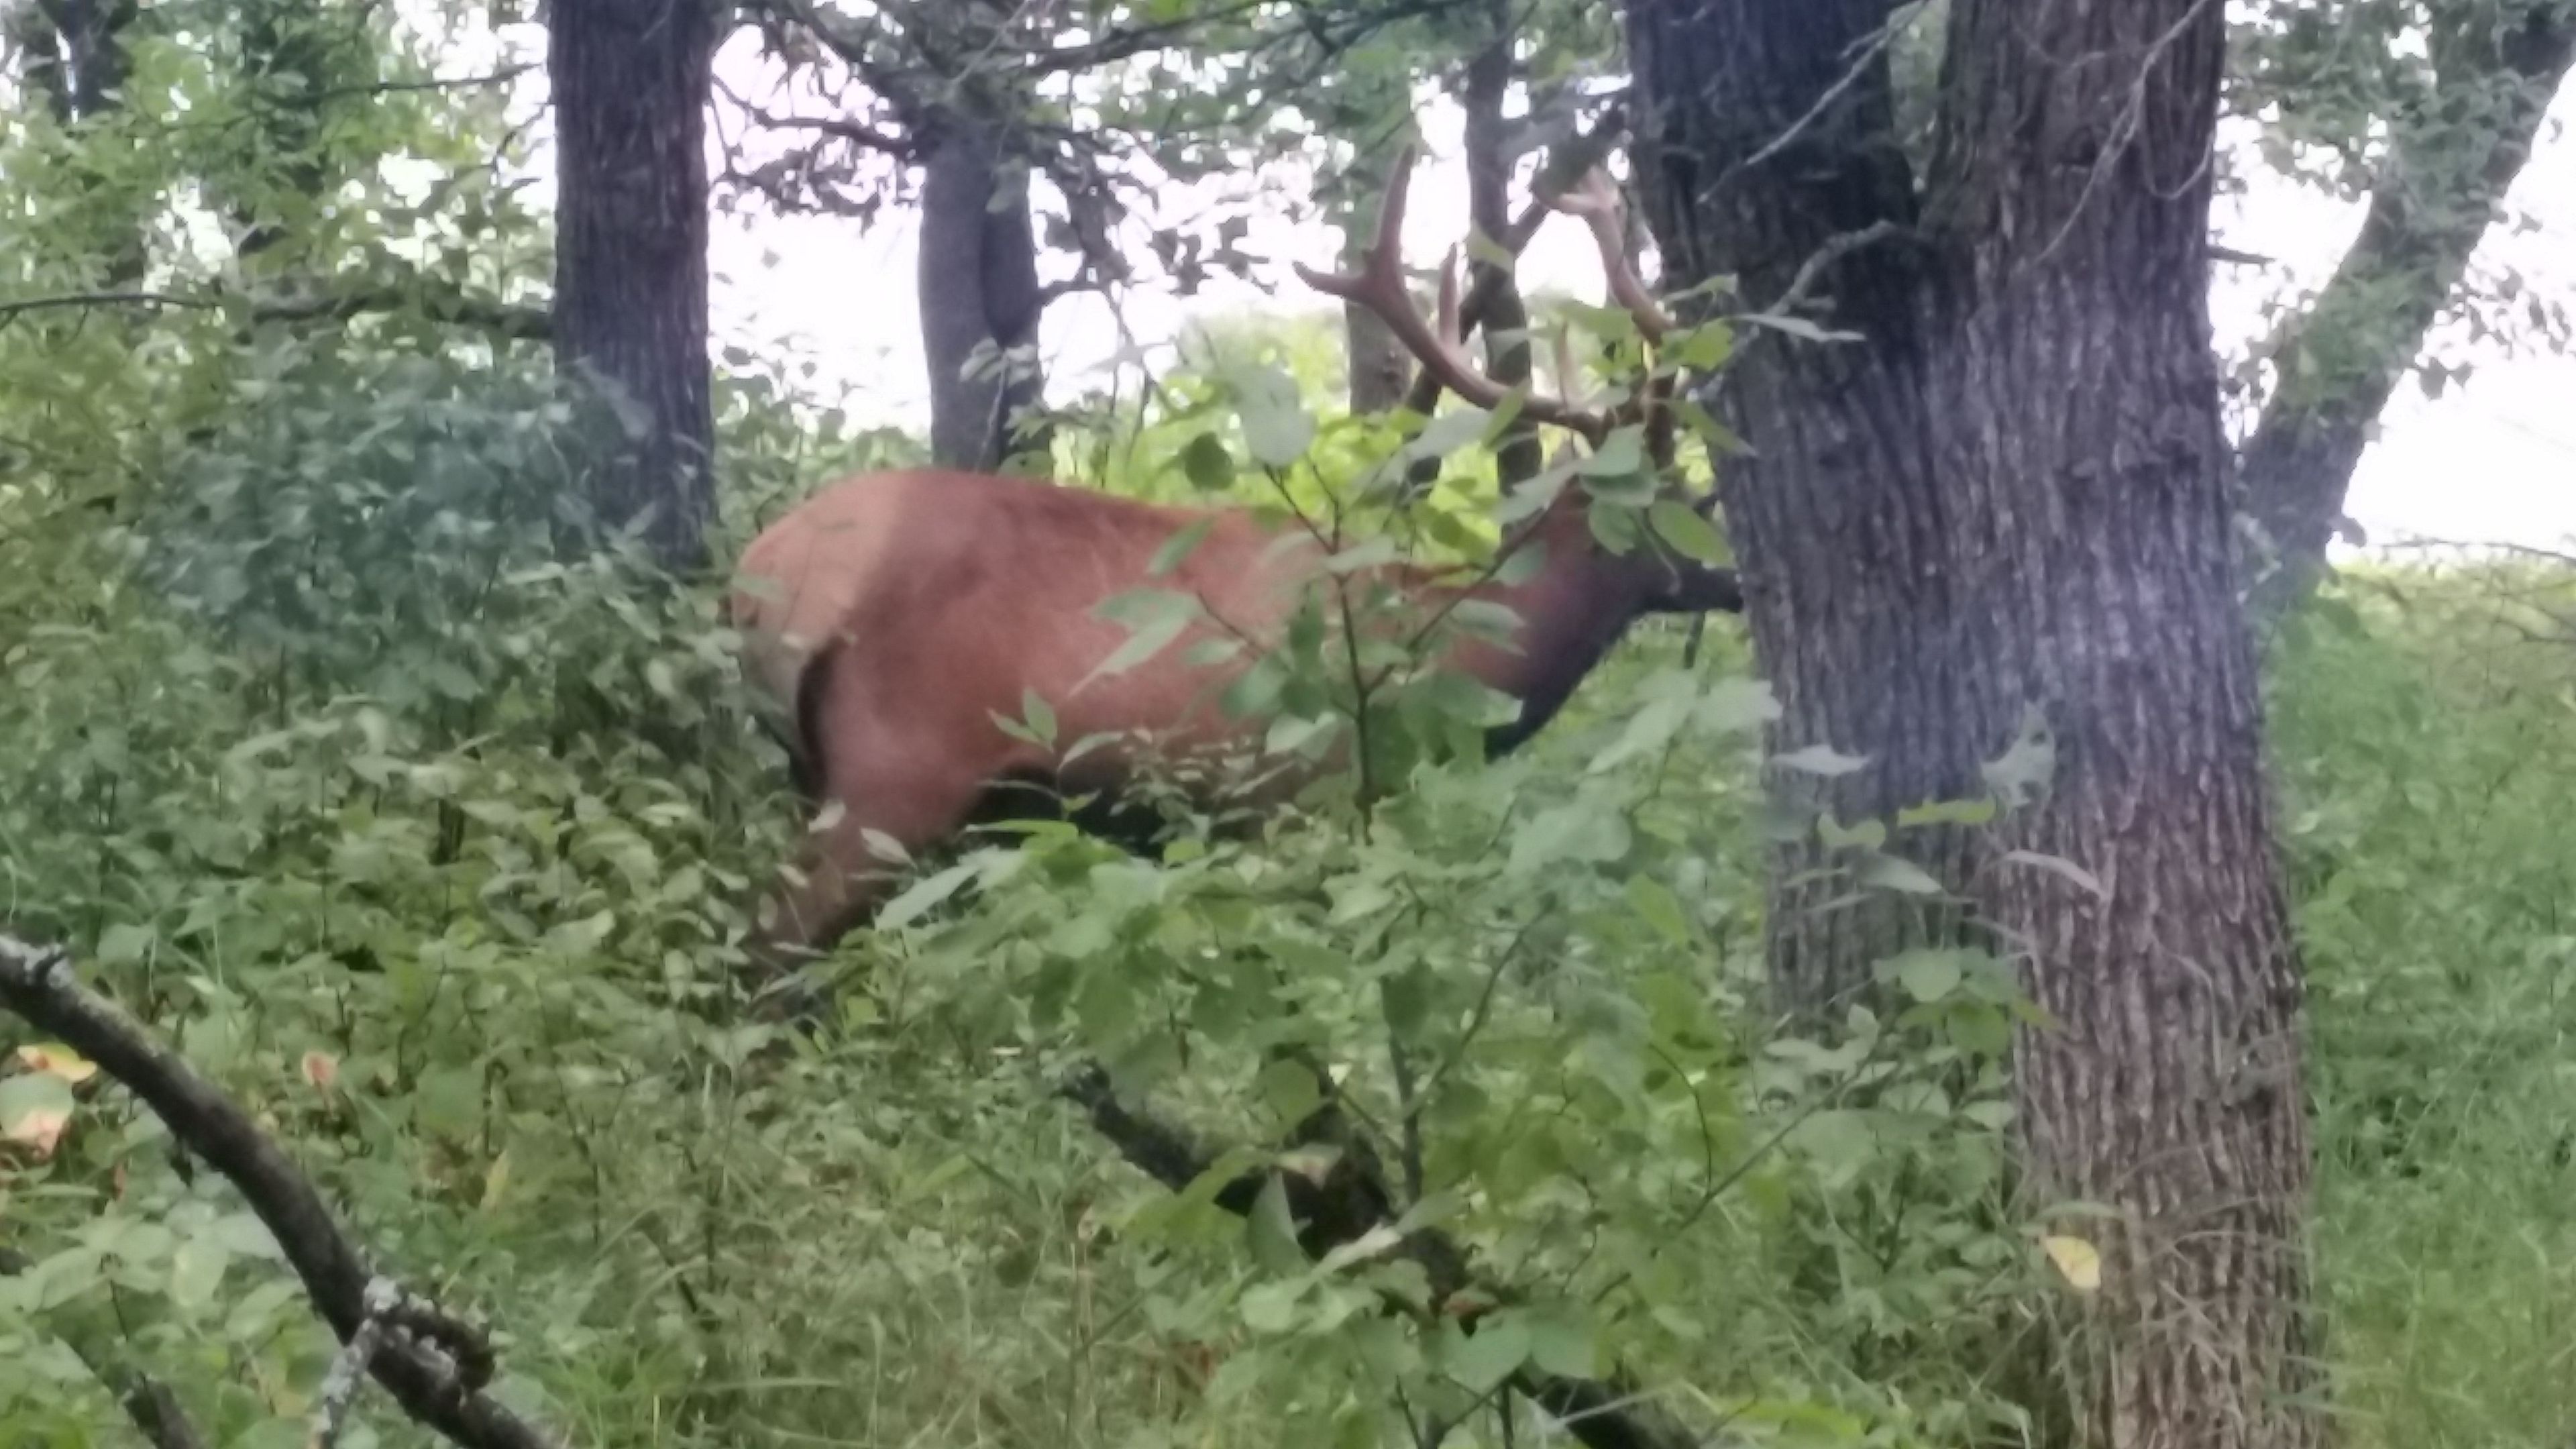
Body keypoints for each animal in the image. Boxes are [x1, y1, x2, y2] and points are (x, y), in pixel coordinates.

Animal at [716, 144, 1741, 989]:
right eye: (1687, 505)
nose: (1736, 579)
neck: (1434, 668)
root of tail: (761, 582)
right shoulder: (1294, 795)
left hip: (825, 774)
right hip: (893, 773)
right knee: (765, 951)